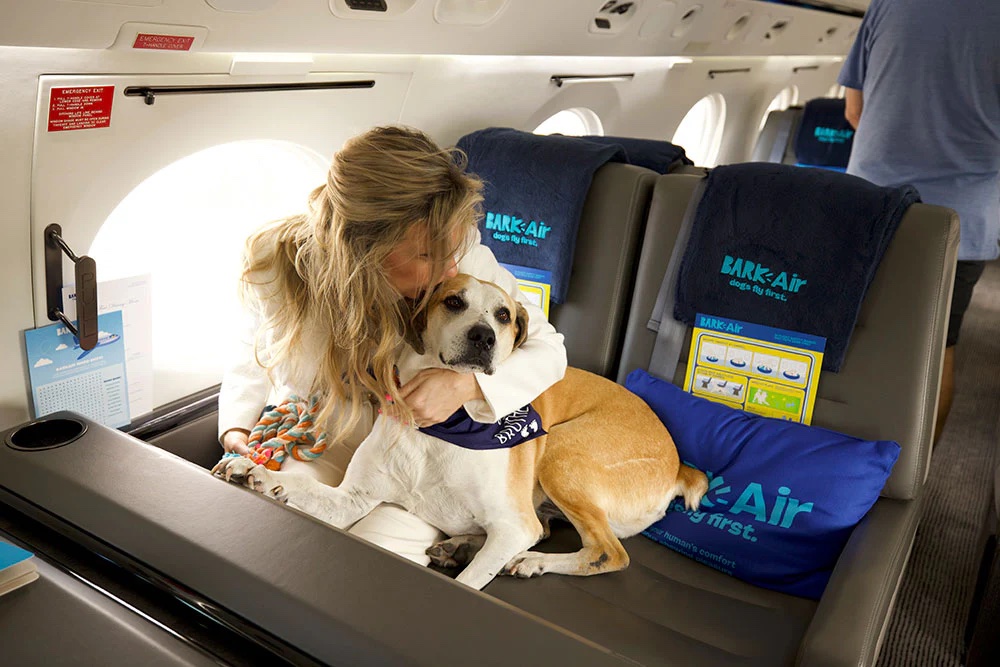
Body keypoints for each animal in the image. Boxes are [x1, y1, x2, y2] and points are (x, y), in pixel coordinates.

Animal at [215, 274, 708, 592]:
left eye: (504, 315)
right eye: (453, 301)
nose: (483, 336)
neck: (440, 427)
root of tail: (679, 465)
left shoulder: (513, 524)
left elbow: (473, 583)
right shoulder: (350, 499)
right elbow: (302, 488)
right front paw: (253, 470)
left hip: (561, 456)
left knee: (608, 552)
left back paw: (529, 562)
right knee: (553, 532)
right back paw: (463, 546)